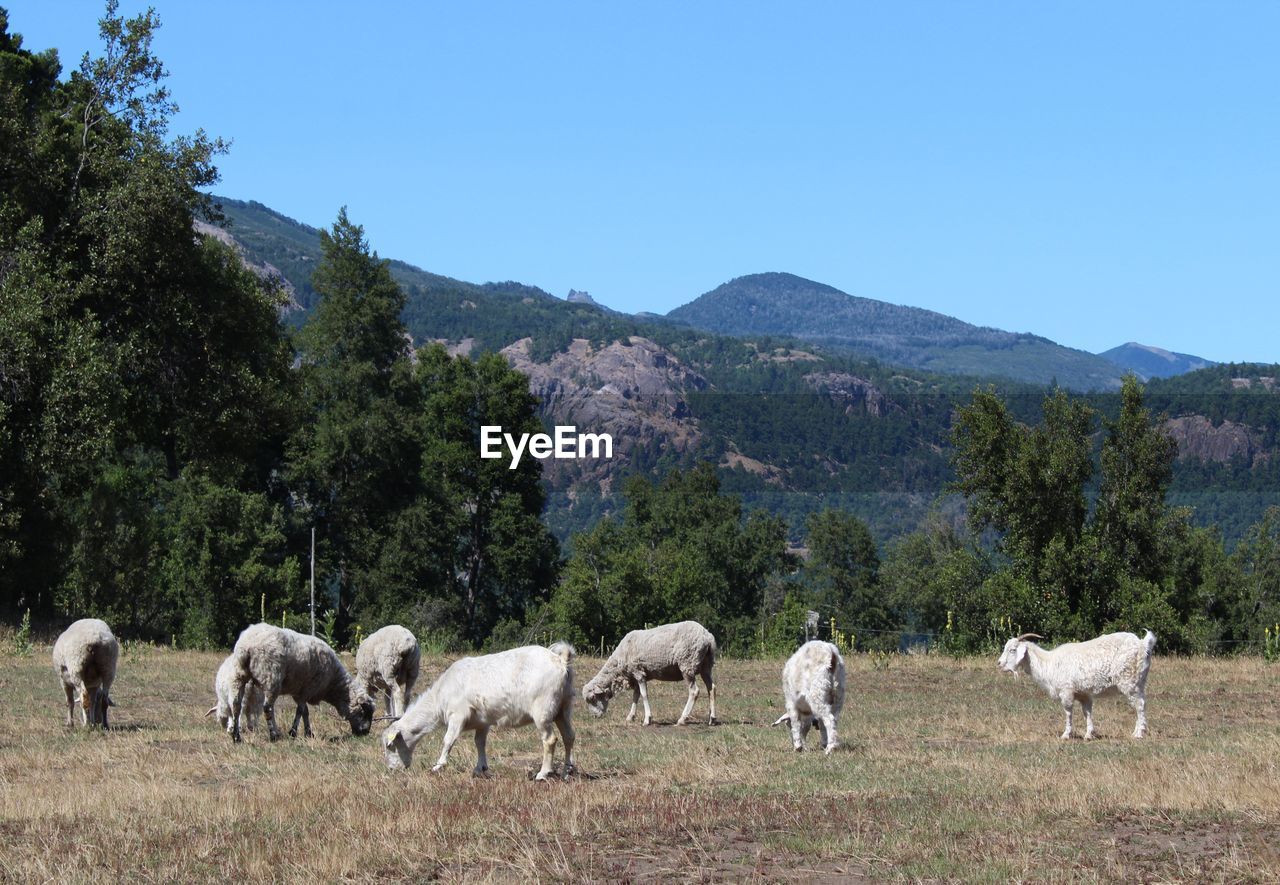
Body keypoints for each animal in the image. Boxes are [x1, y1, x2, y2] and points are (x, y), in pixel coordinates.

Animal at [227, 627, 373, 742]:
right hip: (271, 677)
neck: (333, 684)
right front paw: (293, 732)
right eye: (365, 713)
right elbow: (300, 710)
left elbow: (305, 712)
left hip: (238, 676)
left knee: (236, 705)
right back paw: (273, 735)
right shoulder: (308, 689)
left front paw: (308, 733)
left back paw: (237, 737)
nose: (365, 733)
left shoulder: (298, 691)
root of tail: (246, 646)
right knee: (268, 707)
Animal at [378, 642, 576, 783]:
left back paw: (543, 774)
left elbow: (448, 740)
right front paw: (480, 768)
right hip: (563, 708)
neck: (439, 698)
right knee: (569, 736)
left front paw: (439, 765)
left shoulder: (457, 715)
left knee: (550, 740)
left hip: (543, 709)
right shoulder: (483, 722)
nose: (391, 770)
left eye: (390, 746)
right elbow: (479, 743)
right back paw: (567, 771)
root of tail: (560, 661)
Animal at [583, 617, 716, 727]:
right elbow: (635, 696)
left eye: (593, 698)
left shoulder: (638, 672)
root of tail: (708, 636)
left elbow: (644, 695)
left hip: (687, 663)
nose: (595, 717)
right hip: (706, 665)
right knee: (711, 688)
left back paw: (682, 719)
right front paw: (630, 717)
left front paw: (647, 719)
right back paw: (712, 718)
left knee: (694, 691)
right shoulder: (635, 675)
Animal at [998, 630, 1162, 742]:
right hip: (1139, 683)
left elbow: (1068, 712)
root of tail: (1143, 644)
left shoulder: (1066, 691)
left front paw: (1066, 734)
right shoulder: (1084, 694)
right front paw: (1089, 734)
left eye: (1012, 650)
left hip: (1129, 682)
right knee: (1141, 703)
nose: (999, 663)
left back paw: (1138, 734)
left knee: (1139, 705)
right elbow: (1087, 712)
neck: (1049, 663)